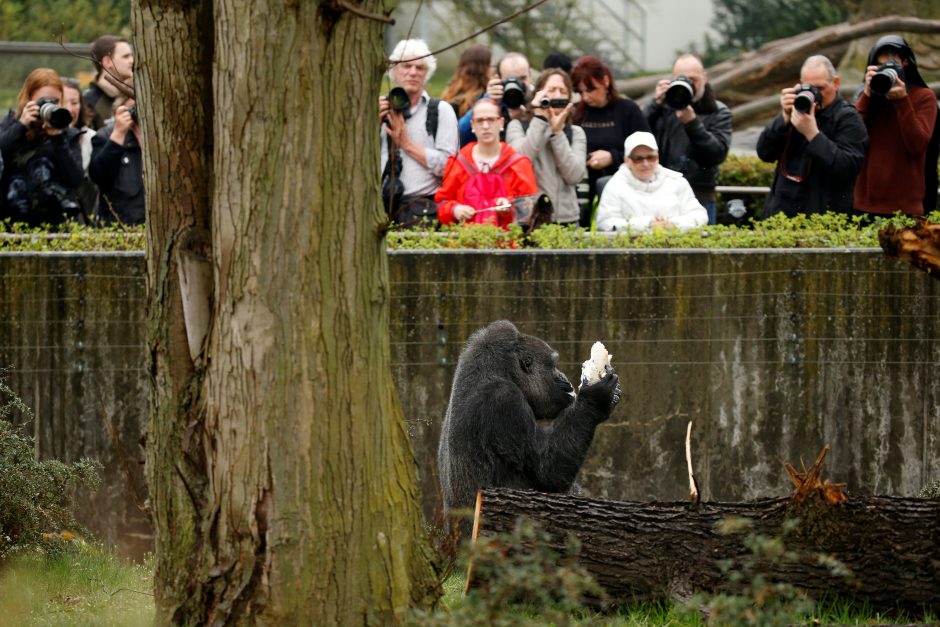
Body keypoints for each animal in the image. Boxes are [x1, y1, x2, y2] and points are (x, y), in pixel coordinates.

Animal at [436, 318, 620, 520]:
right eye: (553, 365)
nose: (564, 377)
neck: (496, 372)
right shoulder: (505, 399)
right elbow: (547, 474)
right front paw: (596, 398)